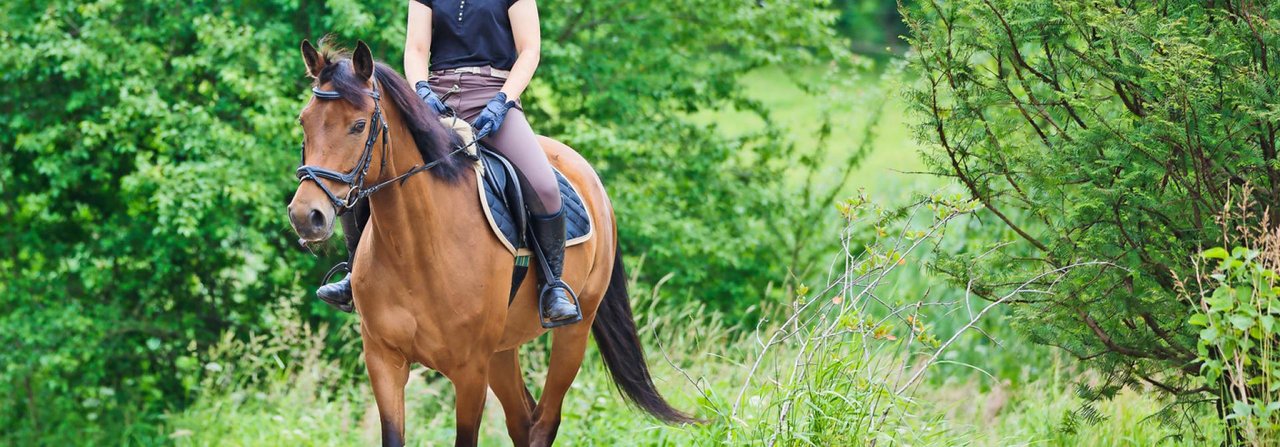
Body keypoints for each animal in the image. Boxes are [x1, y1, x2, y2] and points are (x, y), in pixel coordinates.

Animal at [286, 39, 696, 445]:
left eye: (358, 126)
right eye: (304, 121)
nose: (307, 215)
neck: (416, 249)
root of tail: (587, 173)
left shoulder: (470, 372)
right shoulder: (384, 361)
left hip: (573, 333)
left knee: (545, 421)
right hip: (502, 350)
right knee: (522, 420)